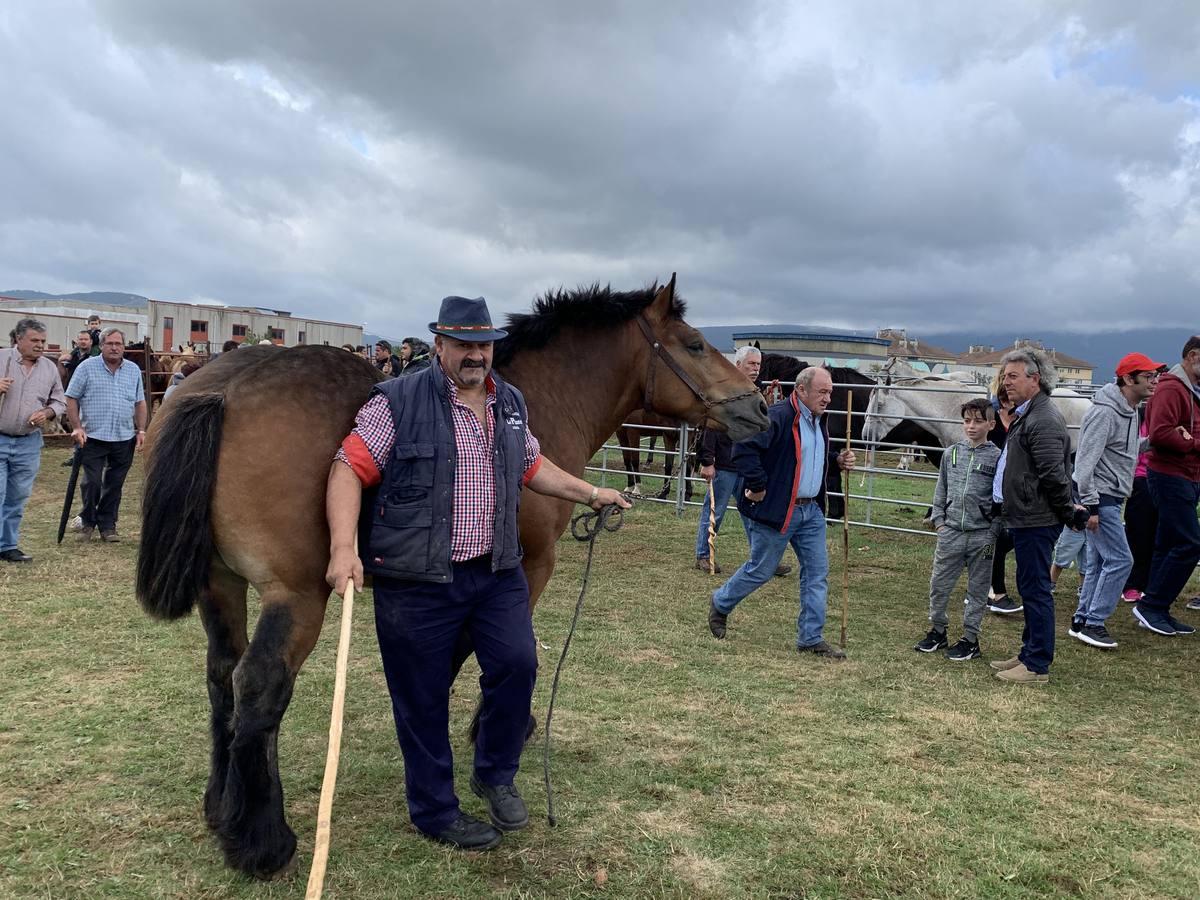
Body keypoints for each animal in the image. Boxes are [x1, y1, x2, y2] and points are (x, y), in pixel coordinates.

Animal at [133, 278, 768, 878]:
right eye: (694, 344)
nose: (758, 410)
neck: (538, 400)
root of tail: (218, 389)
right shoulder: (527, 566)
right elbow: (491, 653)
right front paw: (495, 733)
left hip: (220, 584)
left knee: (221, 674)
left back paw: (221, 808)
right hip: (297, 595)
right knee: (258, 684)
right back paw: (262, 842)